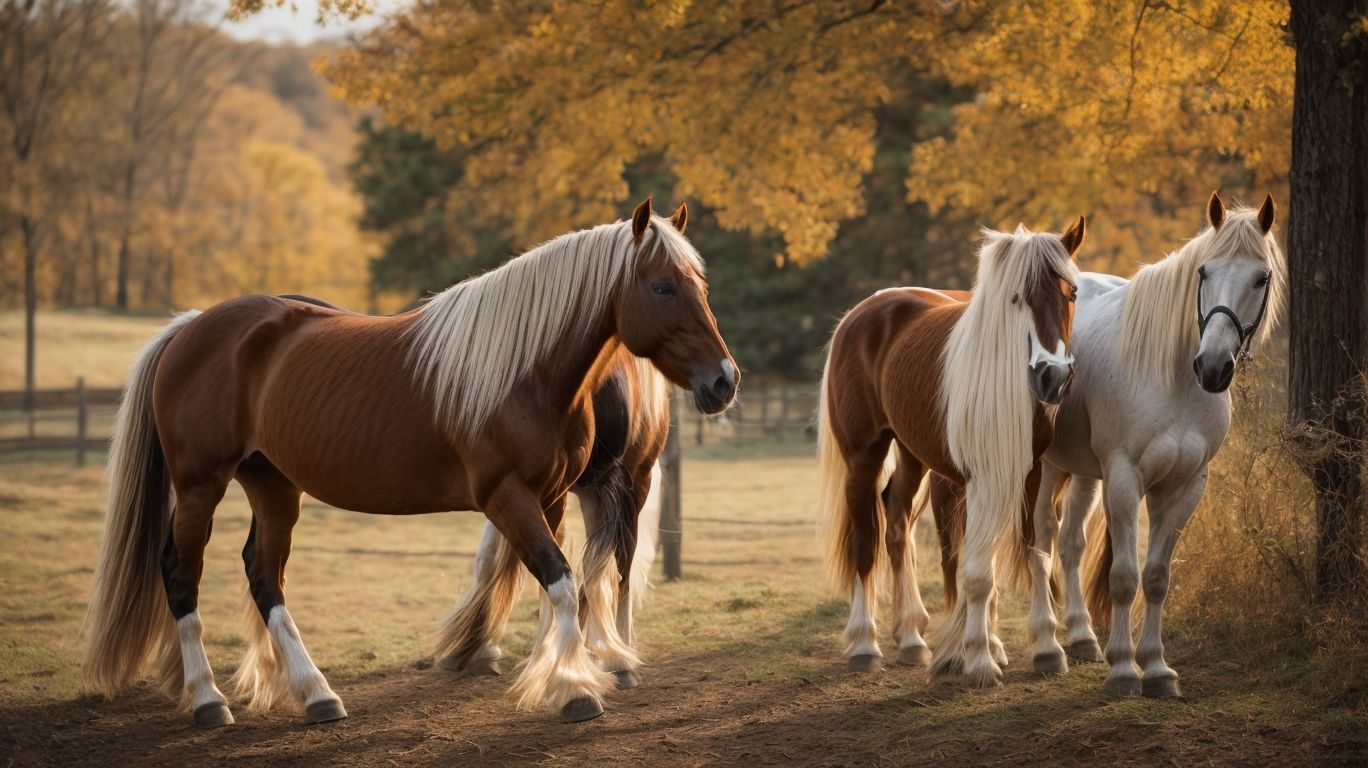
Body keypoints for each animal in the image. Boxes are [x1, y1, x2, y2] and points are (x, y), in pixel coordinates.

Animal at [816, 219, 1084, 687]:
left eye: (1070, 294)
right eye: (1017, 297)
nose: (1052, 376)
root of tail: (861, 312)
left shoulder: (1028, 474)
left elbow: (1034, 555)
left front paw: (1046, 649)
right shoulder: (976, 479)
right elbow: (975, 572)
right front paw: (977, 659)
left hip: (912, 456)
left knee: (897, 524)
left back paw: (911, 639)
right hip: (863, 455)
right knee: (866, 542)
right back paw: (865, 645)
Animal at [930, 193, 1284, 698]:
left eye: (1261, 277)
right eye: (1204, 272)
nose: (1214, 366)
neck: (1171, 377)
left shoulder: (1185, 486)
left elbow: (1156, 578)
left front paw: (1156, 669)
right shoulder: (1124, 478)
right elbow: (1123, 576)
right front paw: (1124, 671)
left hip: (1081, 473)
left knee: (1070, 544)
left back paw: (1080, 637)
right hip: (1045, 471)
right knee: (1041, 540)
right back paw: (1046, 648)